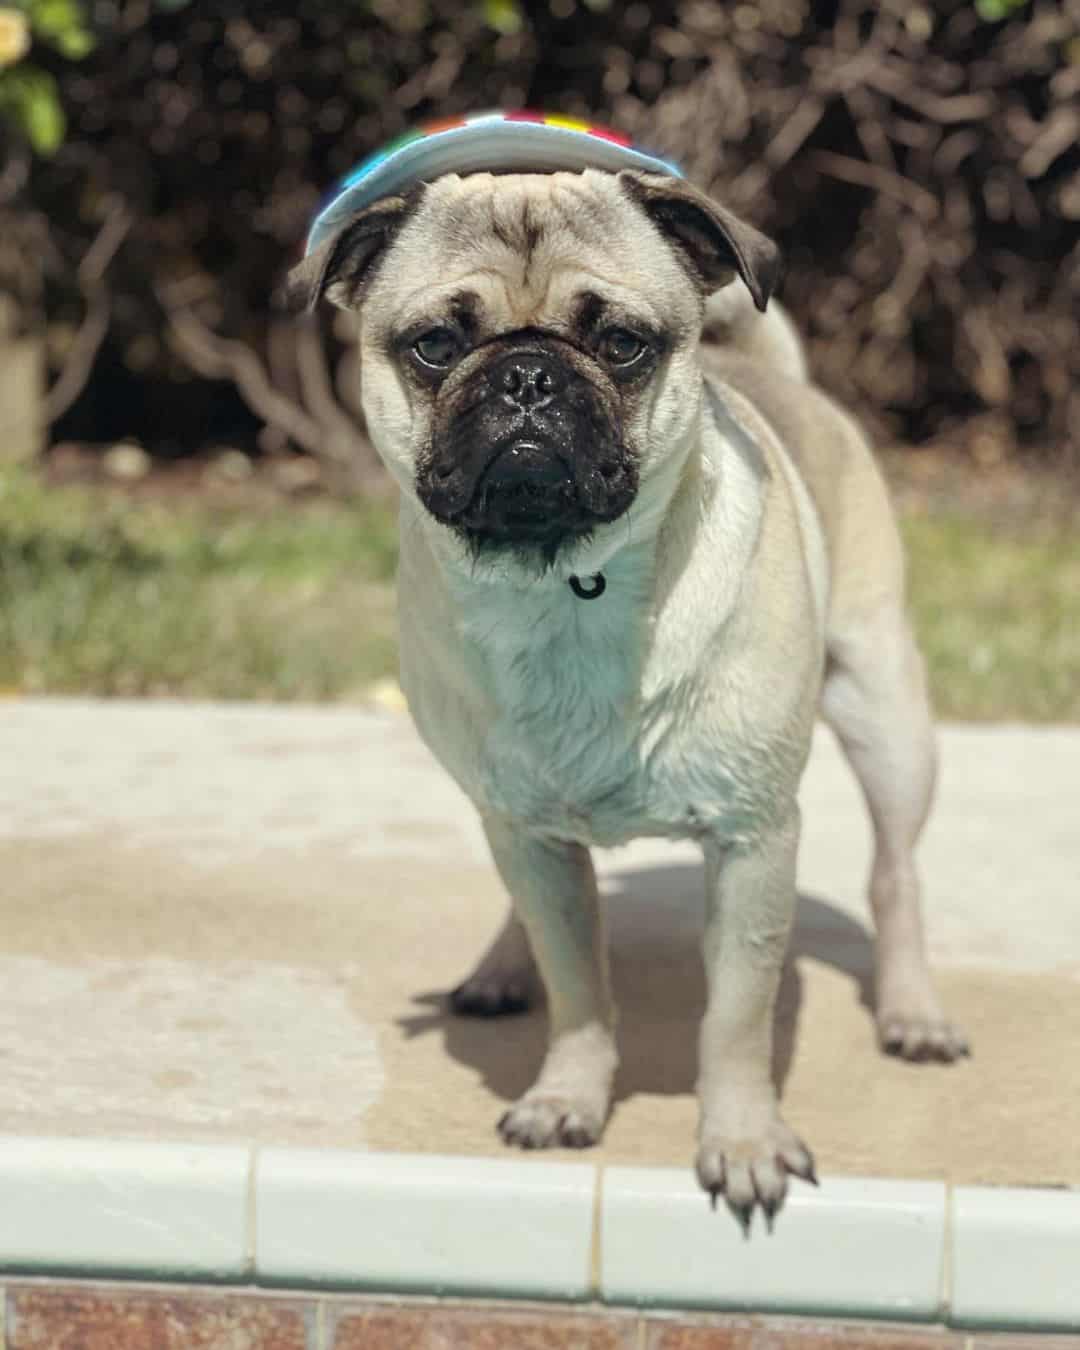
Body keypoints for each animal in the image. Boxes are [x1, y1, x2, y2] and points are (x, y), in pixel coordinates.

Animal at [288, 166, 972, 1225]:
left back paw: (911, 1012)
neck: (566, 585)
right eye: (435, 345)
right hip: (503, 805)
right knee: (527, 889)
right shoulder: (527, 829)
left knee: (895, 872)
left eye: (621, 344)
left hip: (885, 709)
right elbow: (578, 984)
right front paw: (567, 1097)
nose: (528, 375)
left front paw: (742, 1143)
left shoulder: (752, 839)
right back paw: (502, 966)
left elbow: (736, 1018)